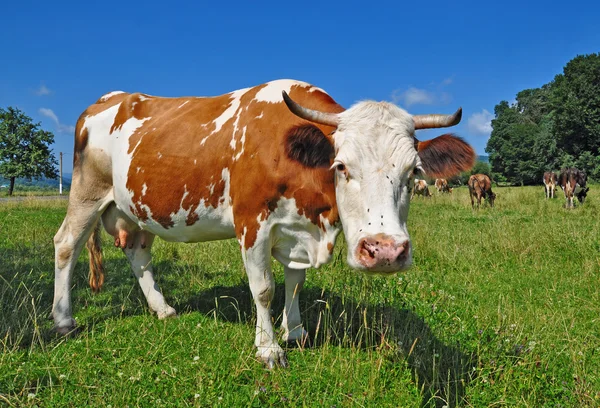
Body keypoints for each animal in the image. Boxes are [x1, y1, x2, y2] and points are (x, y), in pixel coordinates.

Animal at [51, 78, 474, 368]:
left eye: (414, 171)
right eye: (341, 167)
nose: (385, 251)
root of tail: (109, 98)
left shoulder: (299, 229)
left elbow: (296, 283)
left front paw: (297, 331)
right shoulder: (252, 224)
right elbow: (265, 289)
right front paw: (269, 348)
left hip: (137, 208)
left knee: (138, 252)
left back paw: (163, 309)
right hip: (87, 192)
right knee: (66, 244)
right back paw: (64, 320)